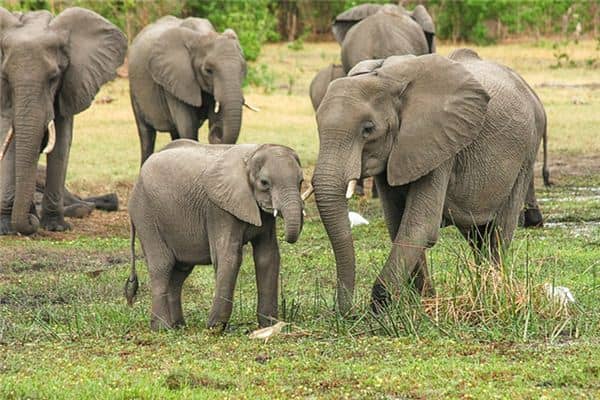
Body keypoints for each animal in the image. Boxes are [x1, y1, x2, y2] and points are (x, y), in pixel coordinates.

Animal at [0, 7, 126, 234]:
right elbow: (7, 139)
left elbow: (61, 143)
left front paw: (55, 227)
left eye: (53, 78)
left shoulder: (70, 84)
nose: (30, 222)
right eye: (6, 78)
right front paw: (6, 228)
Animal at [125, 139, 304, 330]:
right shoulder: (219, 209)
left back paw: (178, 326)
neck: (251, 155)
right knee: (162, 265)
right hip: (146, 216)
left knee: (180, 271)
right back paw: (162, 328)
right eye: (264, 183)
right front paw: (215, 327)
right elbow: (229, 257)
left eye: (301, 181)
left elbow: (268, 257)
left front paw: (269, 325)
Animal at [129, 16, 253, 165]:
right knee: (146, 135)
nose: (216, 131)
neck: (201, 35)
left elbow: (214, 118)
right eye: (208, 70)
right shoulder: (175, 81)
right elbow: (188, 127)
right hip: (134, 90)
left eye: (243, 68)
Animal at [310, 49, 548, 312]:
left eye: (368, 129)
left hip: (527, 151)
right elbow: (397, 223)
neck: (385, 79)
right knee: (477, 234)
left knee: (499, 231)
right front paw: (423, 302)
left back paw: (492, 294)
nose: (348, 313)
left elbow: (420, 226)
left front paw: (382, 308)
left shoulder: (440, 143)